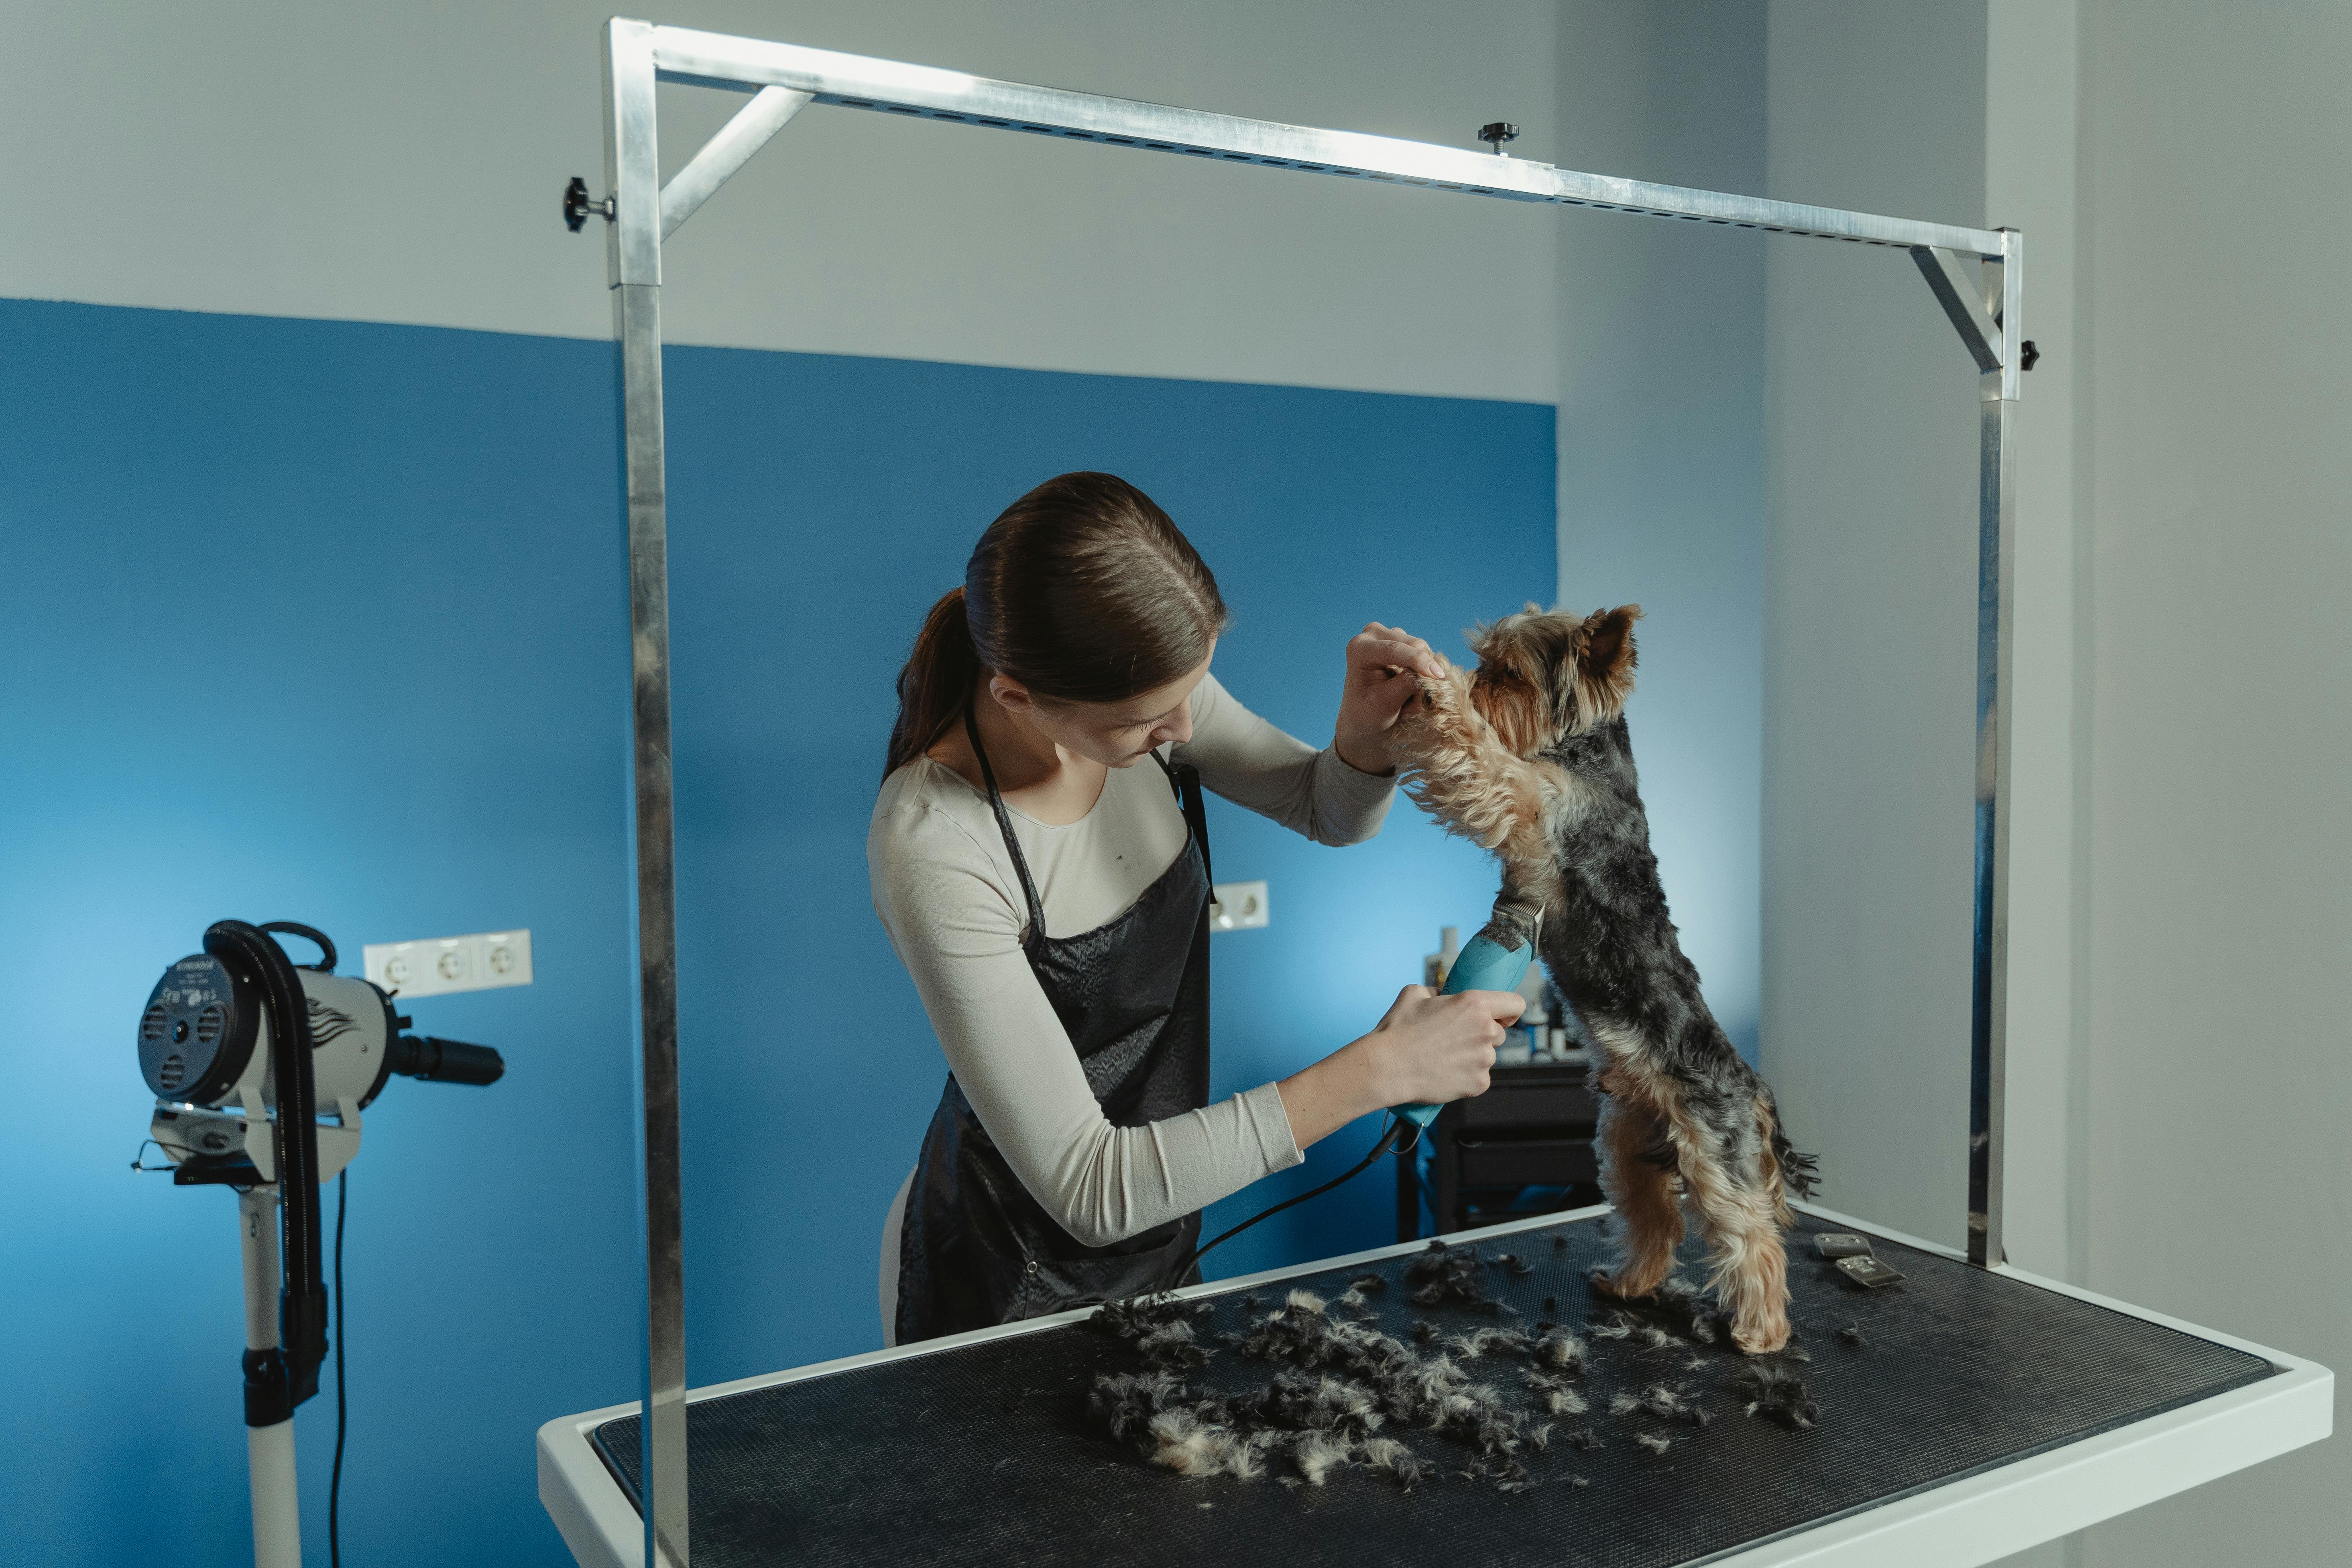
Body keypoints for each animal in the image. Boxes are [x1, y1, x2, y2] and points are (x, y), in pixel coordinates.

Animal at [1392, 606, 1815, 1354]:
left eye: (1508, 674)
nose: (1473, 683)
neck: (1582, 755)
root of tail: (1756, 1087)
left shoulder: (1523, 795)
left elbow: (1480, 755)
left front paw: (1438, 691)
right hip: (1626, 1144)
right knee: (1656, 1220)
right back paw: (1628, 1284)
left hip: (1713, 1151)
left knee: (1750, 1233)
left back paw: (1760, 1331)